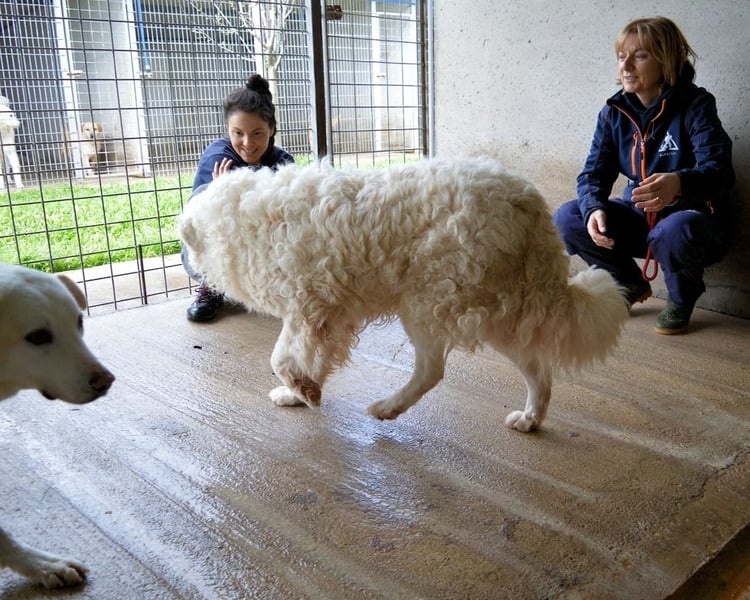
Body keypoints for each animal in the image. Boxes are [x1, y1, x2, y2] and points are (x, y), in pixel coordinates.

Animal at [179, 157, 628, 432]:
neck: (242, 218)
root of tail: (525, 199)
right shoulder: (325, 317)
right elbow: (309, 360)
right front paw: (303, 393)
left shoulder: (308, 308)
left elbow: (280, 360)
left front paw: (303, 391)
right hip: (498, 310)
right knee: (537, 369)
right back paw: (530, 418)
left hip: (430, 302)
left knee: (432, 371)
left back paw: (388, 407)